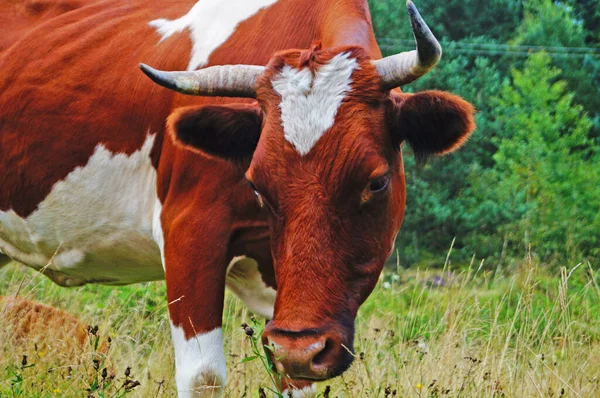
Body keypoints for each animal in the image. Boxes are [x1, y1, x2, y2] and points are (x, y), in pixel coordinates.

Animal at [0, 0, 474, 396]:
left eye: (375, 182)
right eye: (256, 183)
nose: (300, 347)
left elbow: (293, 376)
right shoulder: (189, 232)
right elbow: (204, 376)